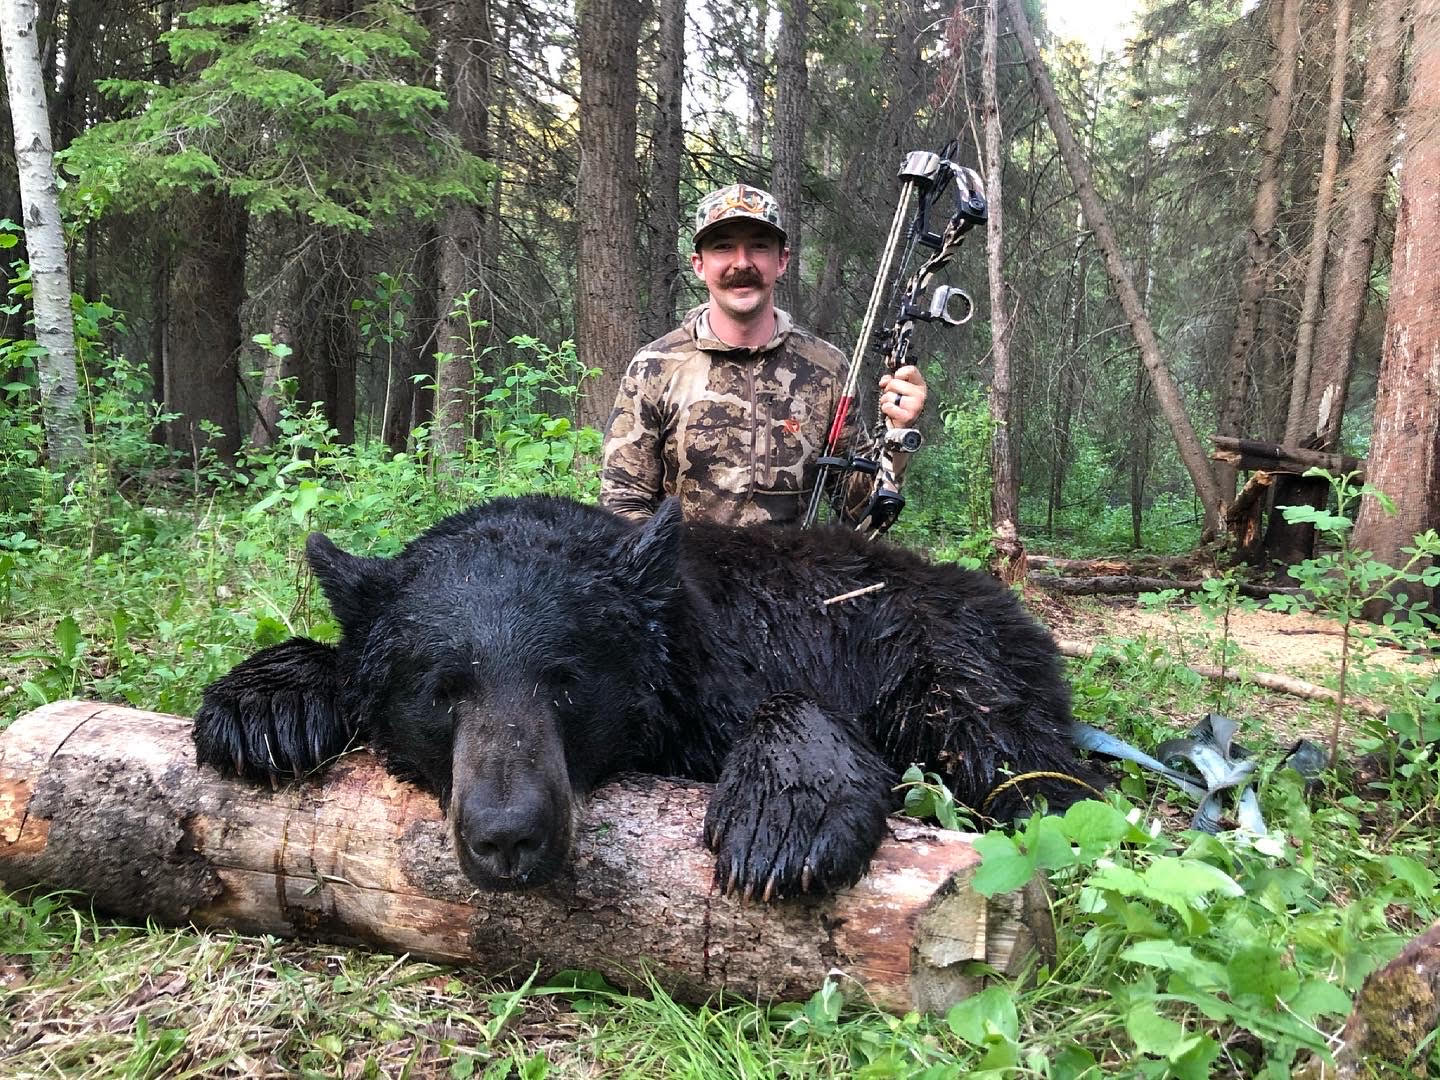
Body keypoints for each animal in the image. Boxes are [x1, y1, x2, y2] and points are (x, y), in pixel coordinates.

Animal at [194, 495, 1103, 900]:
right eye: (444, 690)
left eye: (566, 681)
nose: (507, 836)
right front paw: (263, 706)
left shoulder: (737, 660)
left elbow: (795, 705)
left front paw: (782, 823)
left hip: (960, 659)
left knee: (1023, 764)